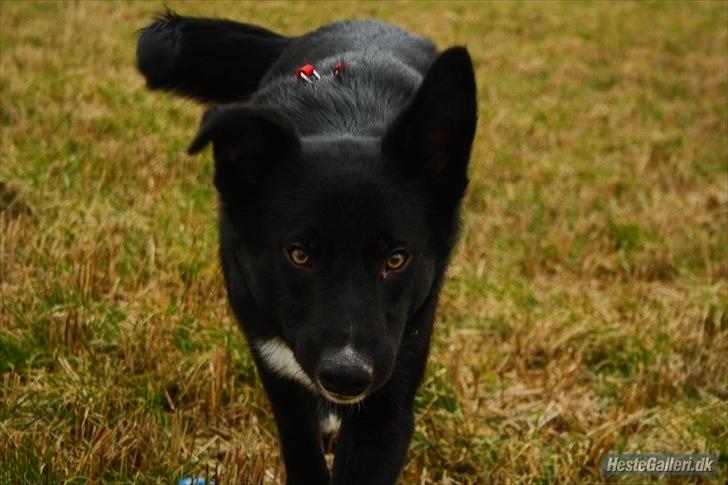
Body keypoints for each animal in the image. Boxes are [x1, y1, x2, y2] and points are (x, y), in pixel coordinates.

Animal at [136, 12, 478, 484]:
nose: (347, 376)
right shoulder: (276, 364)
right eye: (299, 255)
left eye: (396, 259)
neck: (346, 122)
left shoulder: (391, 390)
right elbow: (302, 450)